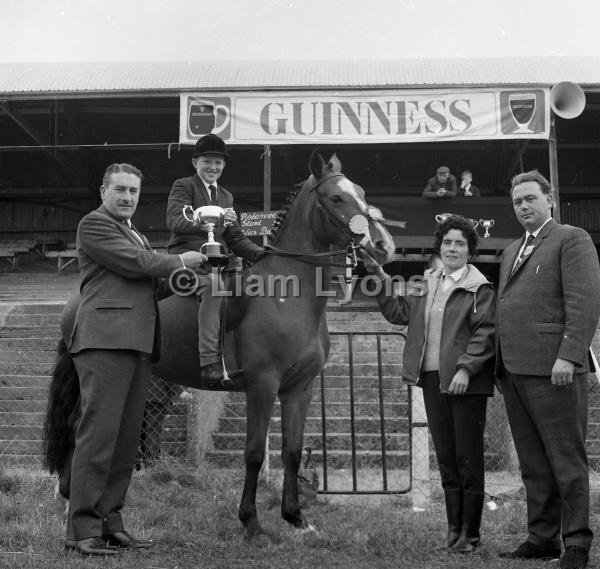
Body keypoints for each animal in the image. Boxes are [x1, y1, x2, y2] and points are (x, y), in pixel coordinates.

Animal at [43, 150, 398, 540]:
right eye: (336, 198)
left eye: (362, 193)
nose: (383, 246)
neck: (286, 294)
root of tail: (77, 298)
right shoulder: (262, 385)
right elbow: (255, 453)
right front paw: (252, 522)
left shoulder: (299, 388)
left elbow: (291, 451)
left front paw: (295, 517)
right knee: (82, 429)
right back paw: (70, 503)